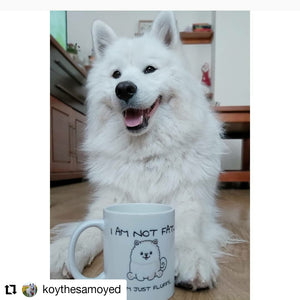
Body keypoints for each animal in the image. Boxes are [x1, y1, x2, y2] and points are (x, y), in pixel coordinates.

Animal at [51, 11, 230, 290]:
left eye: (149, 70)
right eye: (116, 74)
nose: (124, 88)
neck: (145, 153)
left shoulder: (189, 200)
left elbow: (186, 229)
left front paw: (192, 257)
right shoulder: (111, 200)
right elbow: (88, 229)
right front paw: (65, 252)